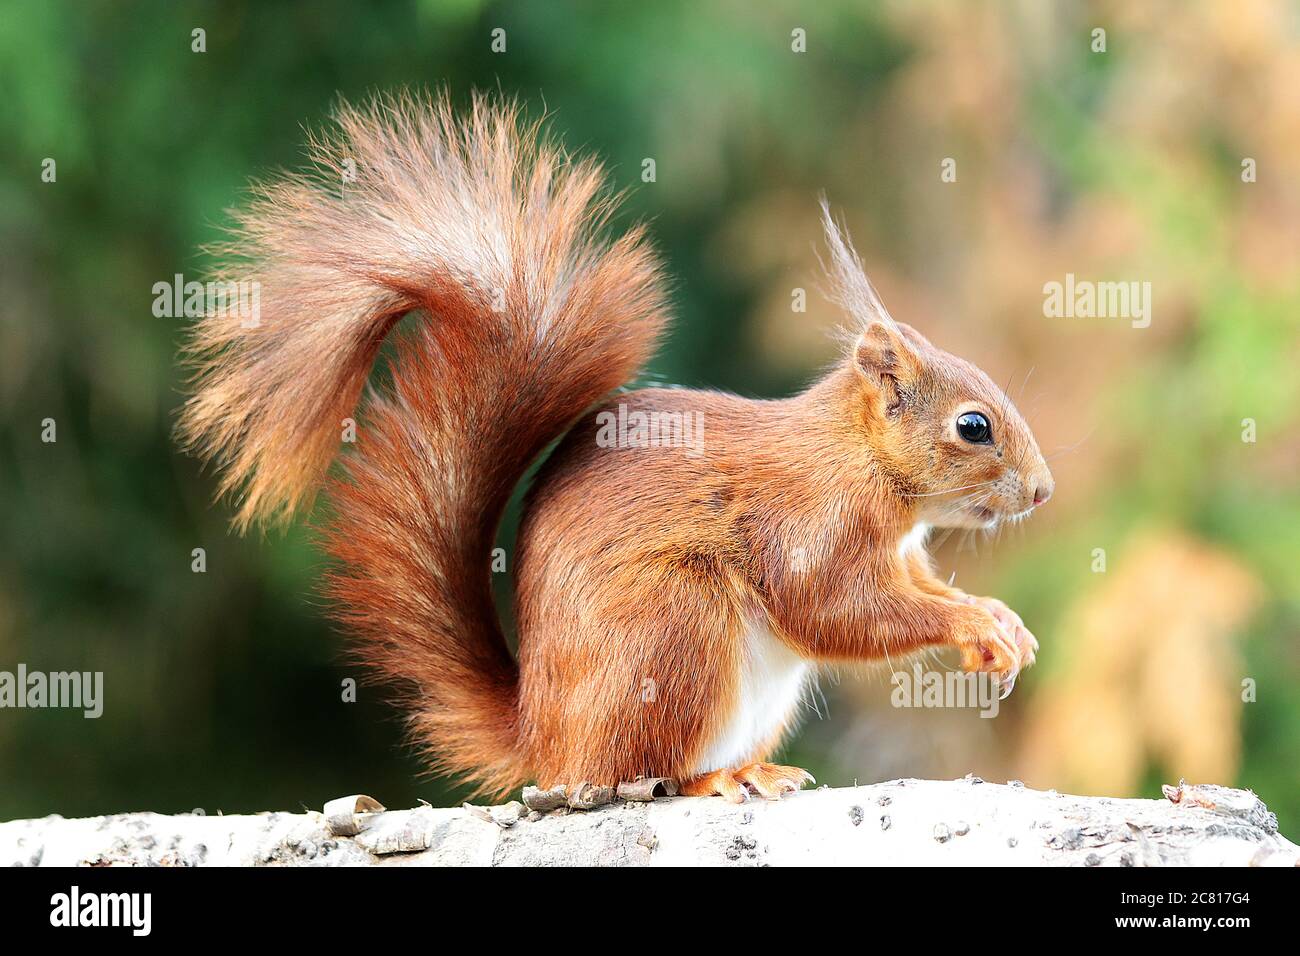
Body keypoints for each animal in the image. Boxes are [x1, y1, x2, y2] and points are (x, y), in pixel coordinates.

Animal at [183, 93, 1050, 806]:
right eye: (974, 427)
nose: (1042, 491)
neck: (864, 462)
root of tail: (544, 739)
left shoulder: (903, 551)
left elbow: (914, 590)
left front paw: (998, 621)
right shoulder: (809, 523)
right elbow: (836, 609)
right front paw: (972, 626)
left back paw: (754, 768)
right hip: (675, 628)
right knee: (642, 768)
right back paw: (709, 780)